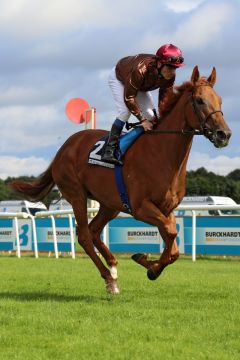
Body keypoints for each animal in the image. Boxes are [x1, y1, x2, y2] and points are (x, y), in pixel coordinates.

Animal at [10, 66, 232, 294]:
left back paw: (113, 266)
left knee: (94, 230)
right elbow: (170, 234)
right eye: (199, 100)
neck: (162, 154)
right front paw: (152, 268)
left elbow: (173, 246)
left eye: (220, 100)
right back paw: (109, 278)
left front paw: (146, 261)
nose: (224, 134)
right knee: (84, 235)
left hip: (110, 203)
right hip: (77, 195)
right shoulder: (141, 207)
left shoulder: (167, 209)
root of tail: (64, 148)